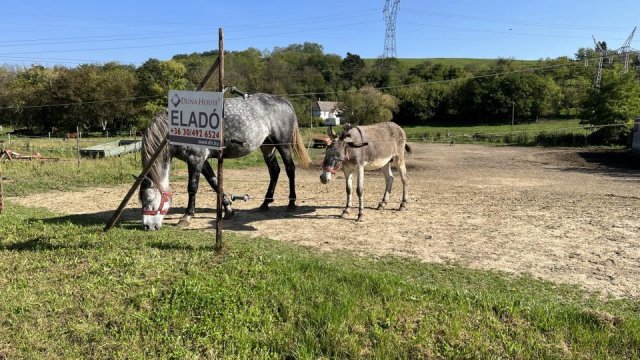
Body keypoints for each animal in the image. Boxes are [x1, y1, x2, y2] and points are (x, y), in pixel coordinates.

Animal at [139, 93, 312, 231]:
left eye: (149, 199)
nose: (148, 227)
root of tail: (282, 100)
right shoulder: (202, 161)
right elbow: (215, 183)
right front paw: (228, 209)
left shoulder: (196, 159)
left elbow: (192, 188)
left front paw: (186, 217)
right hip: (267, 147)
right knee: (274, 171)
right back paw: (265, 204)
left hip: (283, 146)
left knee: (290, 169)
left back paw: (291, 203)